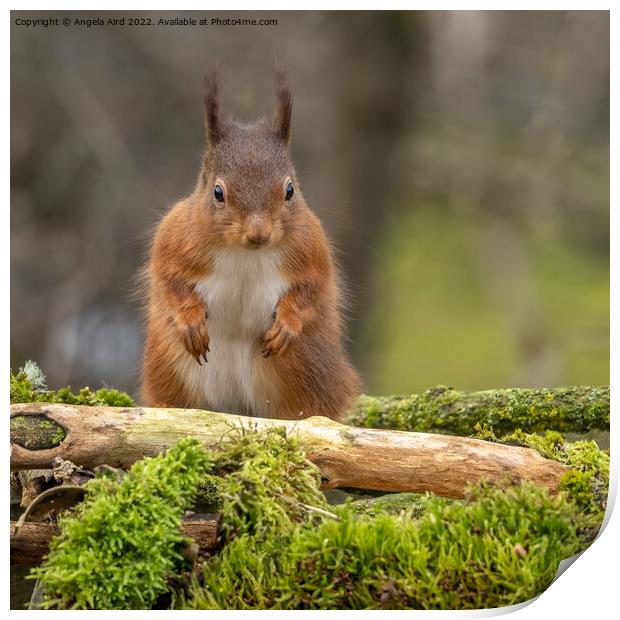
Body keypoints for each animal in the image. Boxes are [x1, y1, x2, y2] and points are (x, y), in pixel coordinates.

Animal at [140, 72, 360, 422]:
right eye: (218, 192)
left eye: (289, 190)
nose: (258, 234)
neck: (246, 254)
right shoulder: (174, 241)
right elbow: (169, 282)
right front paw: (190, 321)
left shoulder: (312, 251)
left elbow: (312, 290)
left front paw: (287, 324)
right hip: (168, 367)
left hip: (310, 368)